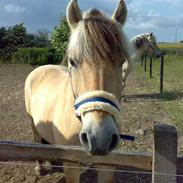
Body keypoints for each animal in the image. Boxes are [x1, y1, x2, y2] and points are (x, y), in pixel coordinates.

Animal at [24, 0, 130, 182]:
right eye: (72, 61)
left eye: (122, 61)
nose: (99, 136)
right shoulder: (71, 167)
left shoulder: (107, 167)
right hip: (32, 122)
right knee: (38, 140)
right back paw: (40, 167)